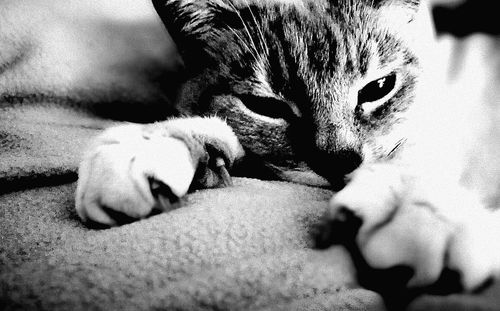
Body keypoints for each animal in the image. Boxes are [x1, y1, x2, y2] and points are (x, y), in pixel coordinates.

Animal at [75, 0, 500, 298]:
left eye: (379, 88)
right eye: (266, 107)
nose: (339, 160)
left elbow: (416, 153)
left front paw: (417, 211)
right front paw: (157, 143)